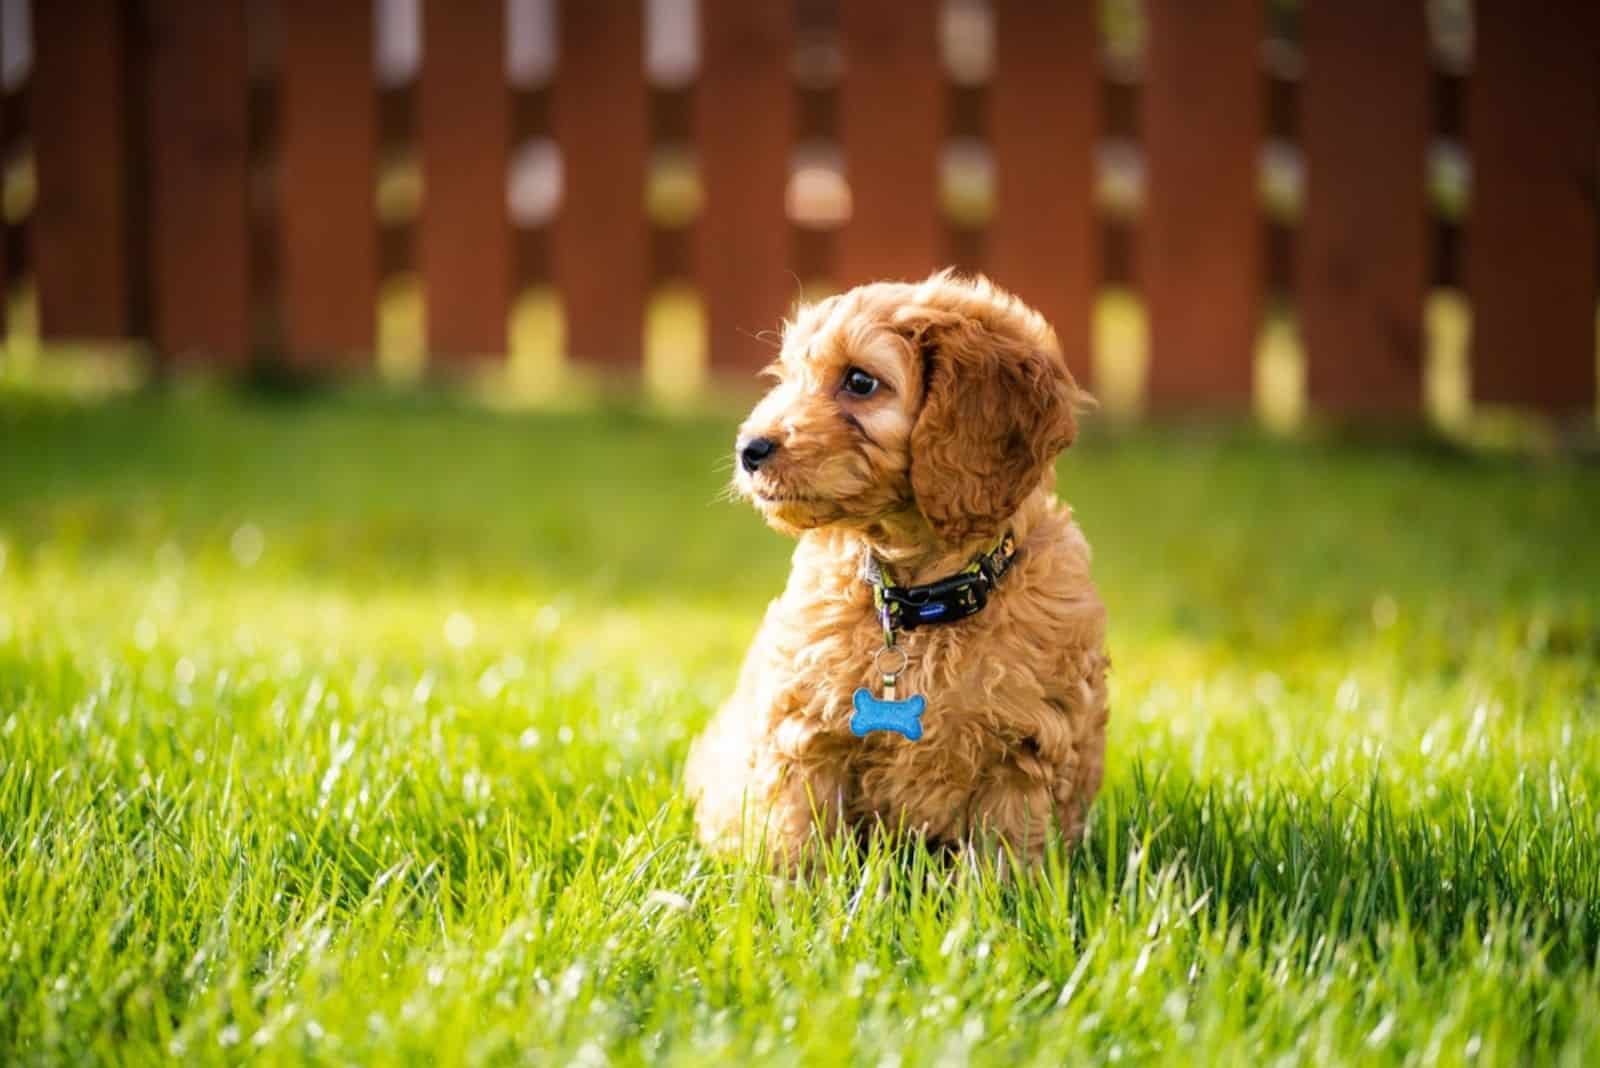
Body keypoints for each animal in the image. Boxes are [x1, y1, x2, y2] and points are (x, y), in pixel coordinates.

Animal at [688, 271, 1113, 869]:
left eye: (860, 381)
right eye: (789, 377)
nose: (749, 449)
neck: (919, 601)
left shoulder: (1027, 750)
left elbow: (1005, 852)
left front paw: (999, 897)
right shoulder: (805, 733)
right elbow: (803, 840)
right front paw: (796, 894)